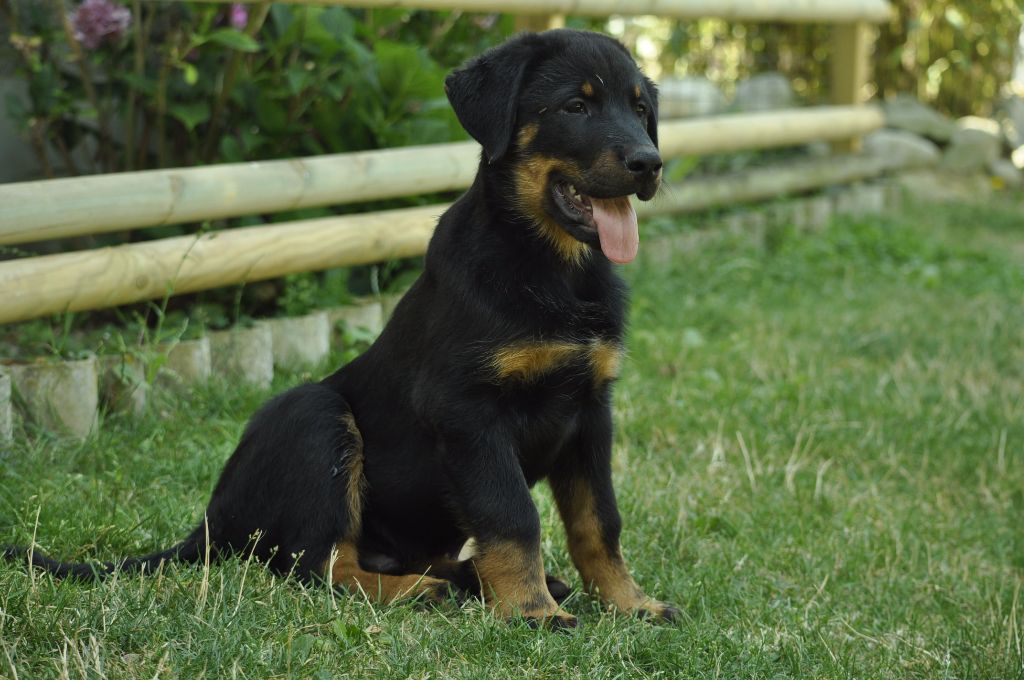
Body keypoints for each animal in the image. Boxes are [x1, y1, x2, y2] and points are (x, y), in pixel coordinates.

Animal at [8, 30, 684, 626]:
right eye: (576, 106)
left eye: (640, 109)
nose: (649, 163)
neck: (552, 269)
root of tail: (212, 520)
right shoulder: (469, 409)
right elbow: (513, 516)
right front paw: (531, 612)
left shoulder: (591, 409)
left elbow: (599, 522)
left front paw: (629, 603)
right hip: (315, 418)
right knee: (316, 563)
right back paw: (420, 591)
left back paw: (474, 579)